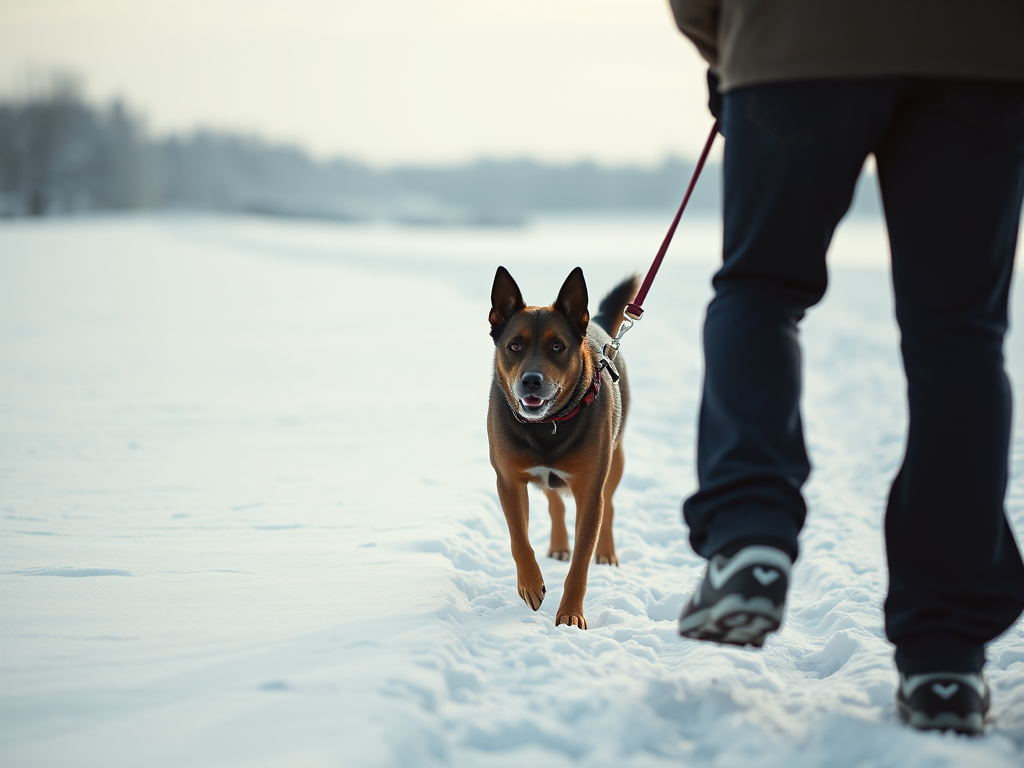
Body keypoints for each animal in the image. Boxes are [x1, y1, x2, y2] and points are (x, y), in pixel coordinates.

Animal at [483, 268, 634, 626]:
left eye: (557, 346)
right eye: (514, 345)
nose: (531, 380)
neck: (547, 426)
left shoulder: (589, 492)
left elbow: (581, 561)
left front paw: (570, 616)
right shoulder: (508, 481)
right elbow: (519, 538)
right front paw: (530, 584)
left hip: (616, 458)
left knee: (609, 505)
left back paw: (606, 552)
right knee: (554, 503)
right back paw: (558, 546)